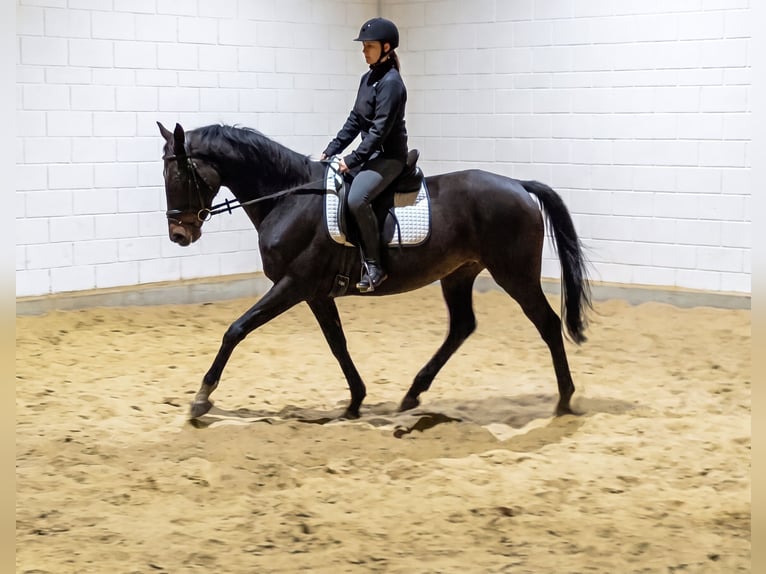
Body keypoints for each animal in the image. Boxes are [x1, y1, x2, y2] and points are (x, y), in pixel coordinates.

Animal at [156, 122, 591, 420]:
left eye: (179, 174)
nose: (179, 234)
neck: (289, 198)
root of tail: (518, 184)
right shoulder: (315, 293)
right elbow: (337, 343)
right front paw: (355, 401)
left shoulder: (294, 284)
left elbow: (236, 329)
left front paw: (202, 397)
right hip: (459, 273)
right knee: (462, 326)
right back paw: (413, 394)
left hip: (514, 274)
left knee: (547, 323)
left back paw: (565, 399)